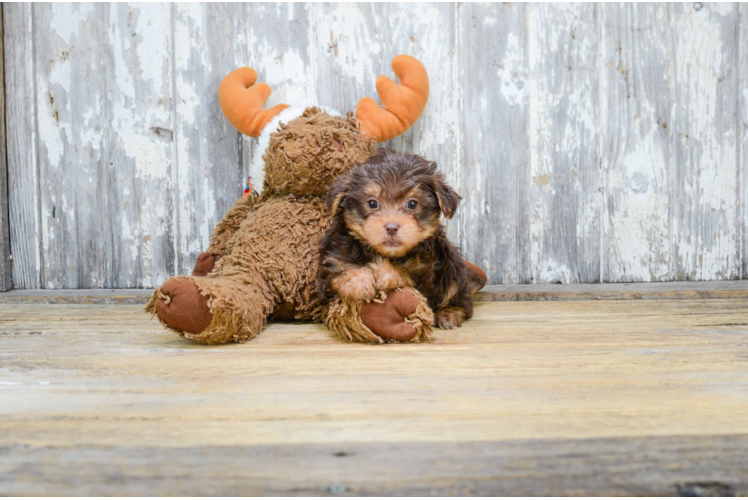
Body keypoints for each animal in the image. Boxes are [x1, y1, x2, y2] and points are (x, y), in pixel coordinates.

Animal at [316, 146, 474, 330]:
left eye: (412, 204)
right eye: (372, 203)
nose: (391, 227)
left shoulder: (425, 273)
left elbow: (406, 273)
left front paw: (384, 271)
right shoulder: (333, 255)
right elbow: (340, 267)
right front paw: (360, 281)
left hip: (453, 268)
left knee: (460, 299)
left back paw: (449, 314)